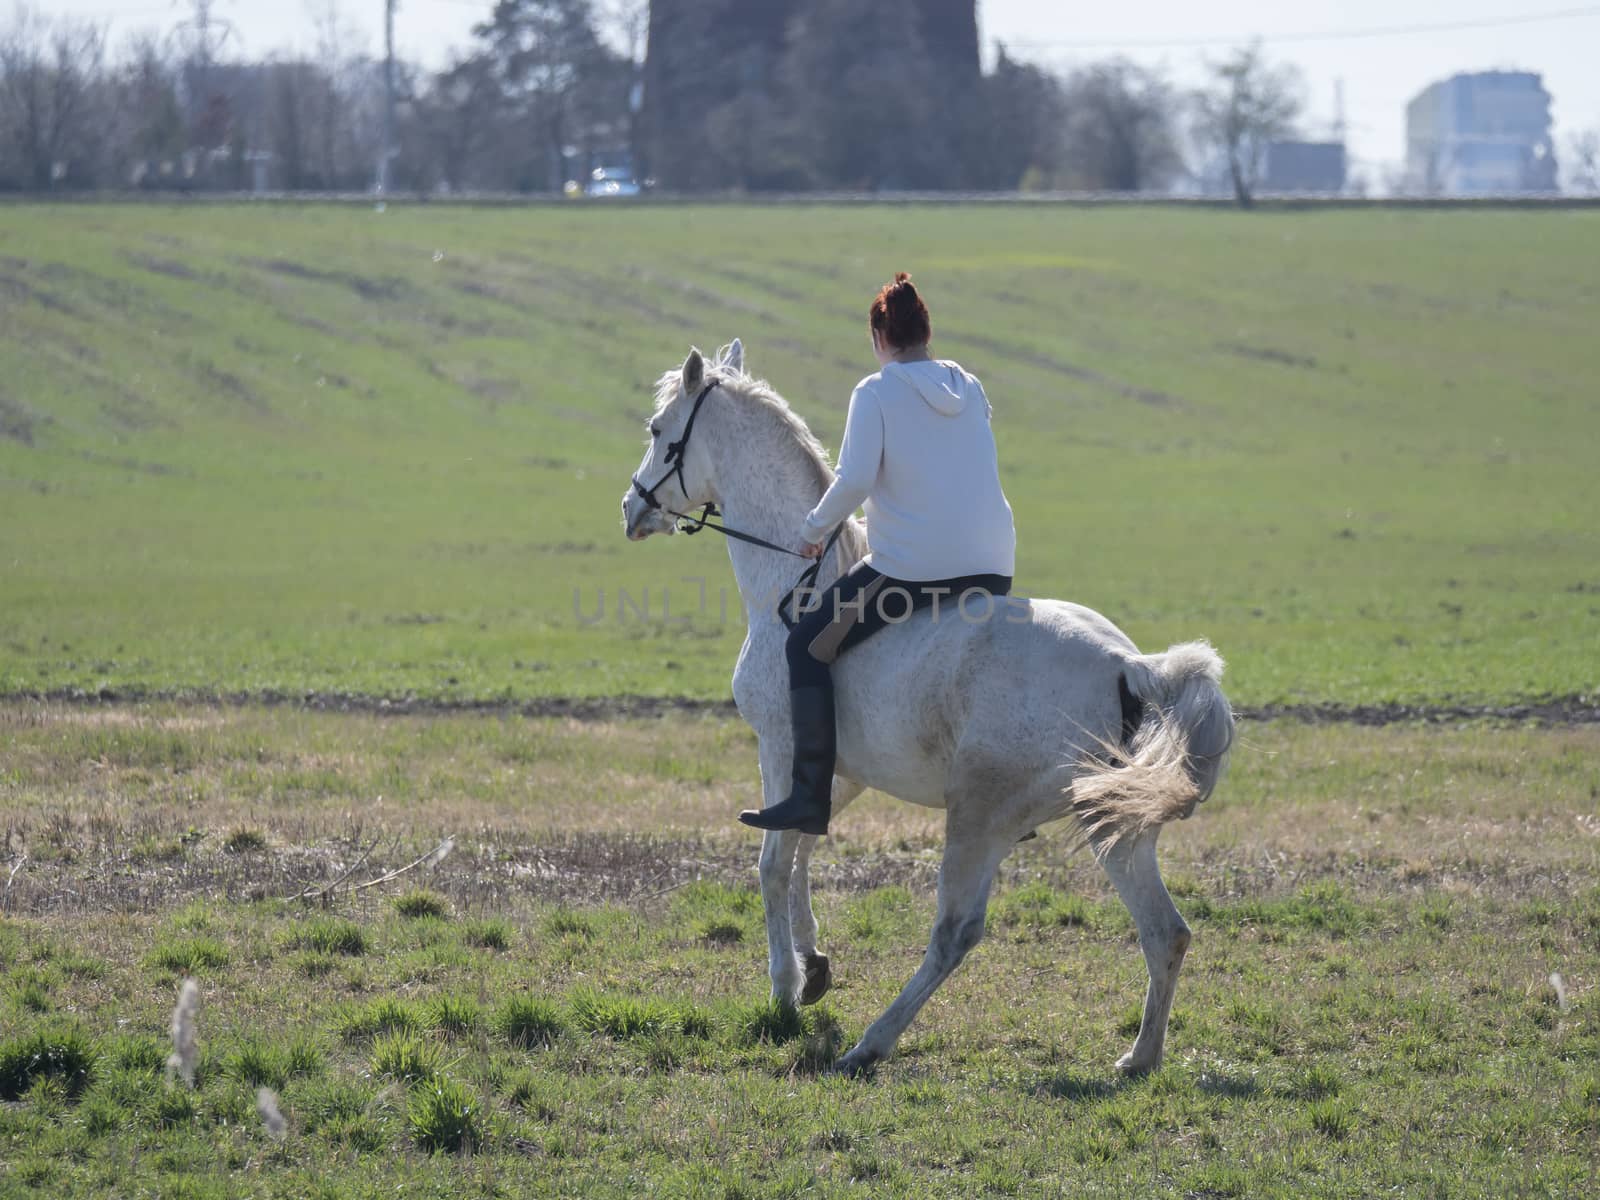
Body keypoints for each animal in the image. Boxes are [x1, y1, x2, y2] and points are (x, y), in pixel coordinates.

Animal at [617, 340, 1228, 1081]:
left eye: (658, 431)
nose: (631, 507)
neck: (793, 579)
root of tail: (1127, 664)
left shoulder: (783, 754)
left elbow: (772, 862)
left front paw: (785, 988)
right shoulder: (838, 775)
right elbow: (802, 849)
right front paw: (813, 966)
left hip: (980, 819)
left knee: (956, 933)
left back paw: (871, 1043)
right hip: (1111, 821)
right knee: (1166, 932)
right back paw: (1139, 1058)